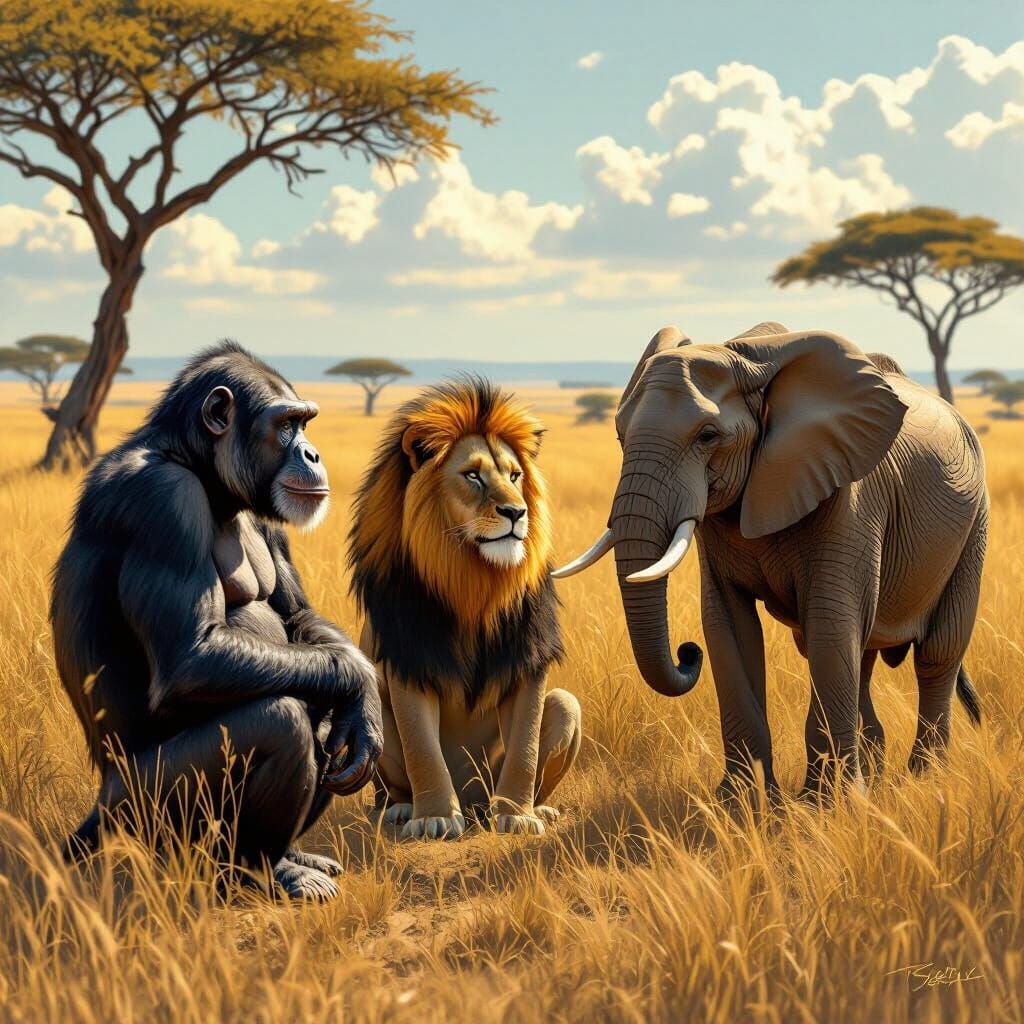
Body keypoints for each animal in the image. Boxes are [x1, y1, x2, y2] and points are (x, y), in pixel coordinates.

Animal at [51, 341, 383, 901]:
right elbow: (193, 656)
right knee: (282, 720)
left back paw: (297, 854)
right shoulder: (161, 500)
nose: (312, 454)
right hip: (142, 817)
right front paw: (363, 680)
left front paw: (367, 709)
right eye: (287, 424)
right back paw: (265, 871)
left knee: (320, 710)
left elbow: (296, 615)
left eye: (307, 421)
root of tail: (97, 810)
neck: (202, 470)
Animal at [348, 378, 581, 839]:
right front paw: (434, 817)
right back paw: (400, 810)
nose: (517, 512)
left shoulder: (527, 663)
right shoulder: (410, 663)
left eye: (515, 475)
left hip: (565, 706)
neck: (473, 581)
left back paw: (536, 809)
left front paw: (518, 815)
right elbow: (423, 749)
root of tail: (474, 805)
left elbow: (525, 747)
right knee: (391, 788)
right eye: (472, 475)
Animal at [554, 322, 987, 798]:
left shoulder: (849, 495)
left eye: (708, 436)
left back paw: (924, 779)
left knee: (936, 652)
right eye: (620, 435)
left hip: (974, 525)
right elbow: (728, 625)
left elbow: (830, 624)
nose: (686, 652)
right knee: (865, 653)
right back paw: (876, 777)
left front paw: (827, 805)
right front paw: (744, 804)